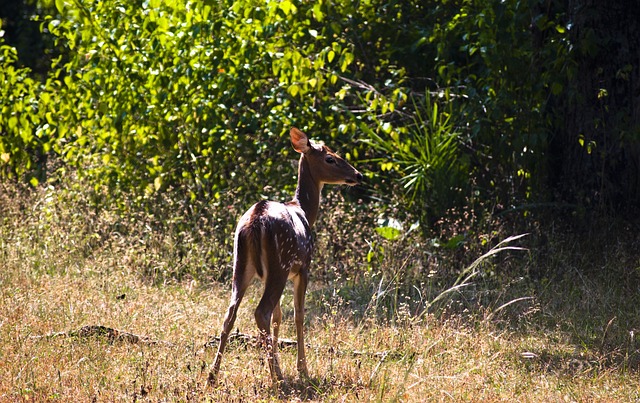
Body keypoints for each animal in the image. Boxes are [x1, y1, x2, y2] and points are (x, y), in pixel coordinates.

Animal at [208, 128, 362, 386]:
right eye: (330, 158)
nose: (357, 175)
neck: (304, 210)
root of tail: (256, 220)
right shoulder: (304, 267)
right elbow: (298, 314)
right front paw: (302, 369)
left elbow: (279, 316)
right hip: (280, 263)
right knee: (261, 311)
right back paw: (278, 377)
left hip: (241, 264)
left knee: (231, 313)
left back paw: (213, 375)